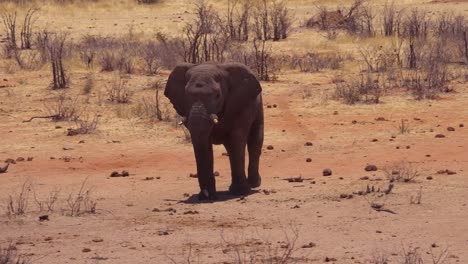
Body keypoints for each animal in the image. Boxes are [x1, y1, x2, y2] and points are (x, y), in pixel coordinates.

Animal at [165, 62, 266, 200]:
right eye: (186, 95)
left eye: (217, 95)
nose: (204, 195)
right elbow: (203, 142)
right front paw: (207, 196)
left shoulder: (241, 105)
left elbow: (237, 140)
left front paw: (241, 192)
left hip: (258, 106)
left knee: (254, 142)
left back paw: (254, 184)